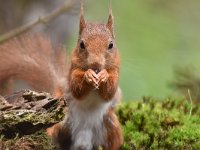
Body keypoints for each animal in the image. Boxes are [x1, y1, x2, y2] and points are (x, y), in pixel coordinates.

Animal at [0, 4, 122, 150]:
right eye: (81, 44)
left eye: (111, 45)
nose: (95, 64)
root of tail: (83, 141)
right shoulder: (72, 73)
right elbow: (77, 89)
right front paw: (88, 75)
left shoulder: (115, 73)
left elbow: (109, 92)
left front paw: (104, 75)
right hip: (60, 123)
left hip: (110, 127)